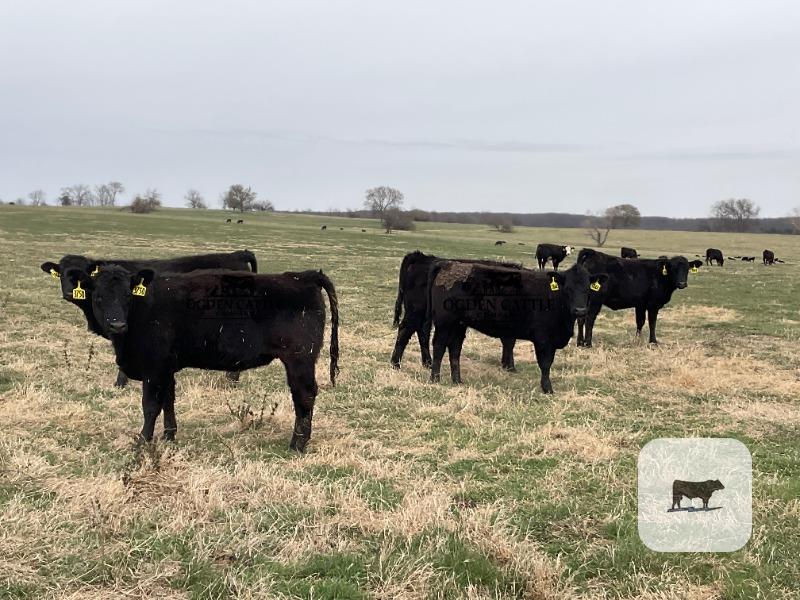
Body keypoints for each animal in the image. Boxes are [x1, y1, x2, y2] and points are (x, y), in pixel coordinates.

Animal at [40, 250, 258, 388]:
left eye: (81, 273)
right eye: (62, 273)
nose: (69, 292)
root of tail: (236, 254)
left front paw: (121, 382)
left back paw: (231, 379)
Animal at [62, 266, 339, 452]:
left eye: (128, 297)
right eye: (98, 297)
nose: (117, 325)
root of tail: (303, 275)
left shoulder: (154, 367)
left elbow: (150, 406)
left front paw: (142, 441)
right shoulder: (166, 368)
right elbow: (168, 400)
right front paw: (169, 435)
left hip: (299, 359)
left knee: (304, 395)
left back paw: (298, 444)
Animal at [391, 251, 520, 371]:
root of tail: (421, 257)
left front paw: (506, 364)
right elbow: (509, 341)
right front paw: (510, 366)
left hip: (423, 313)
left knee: (422, 331)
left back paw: (427, 362)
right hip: (416, 309)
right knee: (405, 329)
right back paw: (395, 364)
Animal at [426, 262, 605, 393]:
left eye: (587, 289)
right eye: (567, 289)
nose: (580, 310)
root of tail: (448, 265)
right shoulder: (543, 339)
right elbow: (545, 363)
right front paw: (547, 388)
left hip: (459, 325)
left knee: (455, 349)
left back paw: (457, 380)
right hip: (444, 322)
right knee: (439, 346)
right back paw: (435, 379)